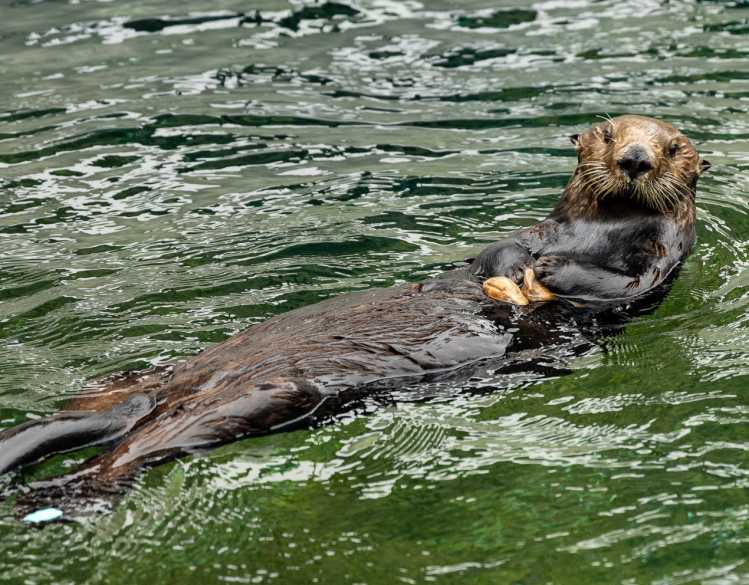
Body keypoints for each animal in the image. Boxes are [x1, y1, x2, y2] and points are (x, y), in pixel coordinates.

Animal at [0, 115, 709, 514]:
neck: (596, 232)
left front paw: (551, 275)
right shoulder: (539, 227)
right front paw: (518, 263)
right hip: (158, 383)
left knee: (134, 448)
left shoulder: (658, 263)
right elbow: (497, 248)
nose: (636, 159)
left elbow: (618, 283)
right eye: (610, 135)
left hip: (260, 397)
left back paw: (62, 495)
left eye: (673, 147)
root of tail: (173, 390)